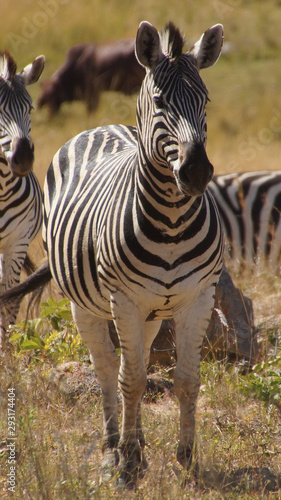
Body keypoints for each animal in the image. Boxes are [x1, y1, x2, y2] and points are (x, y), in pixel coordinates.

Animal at [0, 21, 223, 486]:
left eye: (205, 100)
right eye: (159, 102)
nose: (196, 172)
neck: (172, 220)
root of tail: (101, 126)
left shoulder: (198, 298)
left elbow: (187, 381)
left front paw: (186, 460)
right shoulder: (125, 300)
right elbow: (131, 381)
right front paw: (129, 463)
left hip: (151, 312)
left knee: (135, 362)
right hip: (87, 306)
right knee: (107, 369)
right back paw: (112, 447)